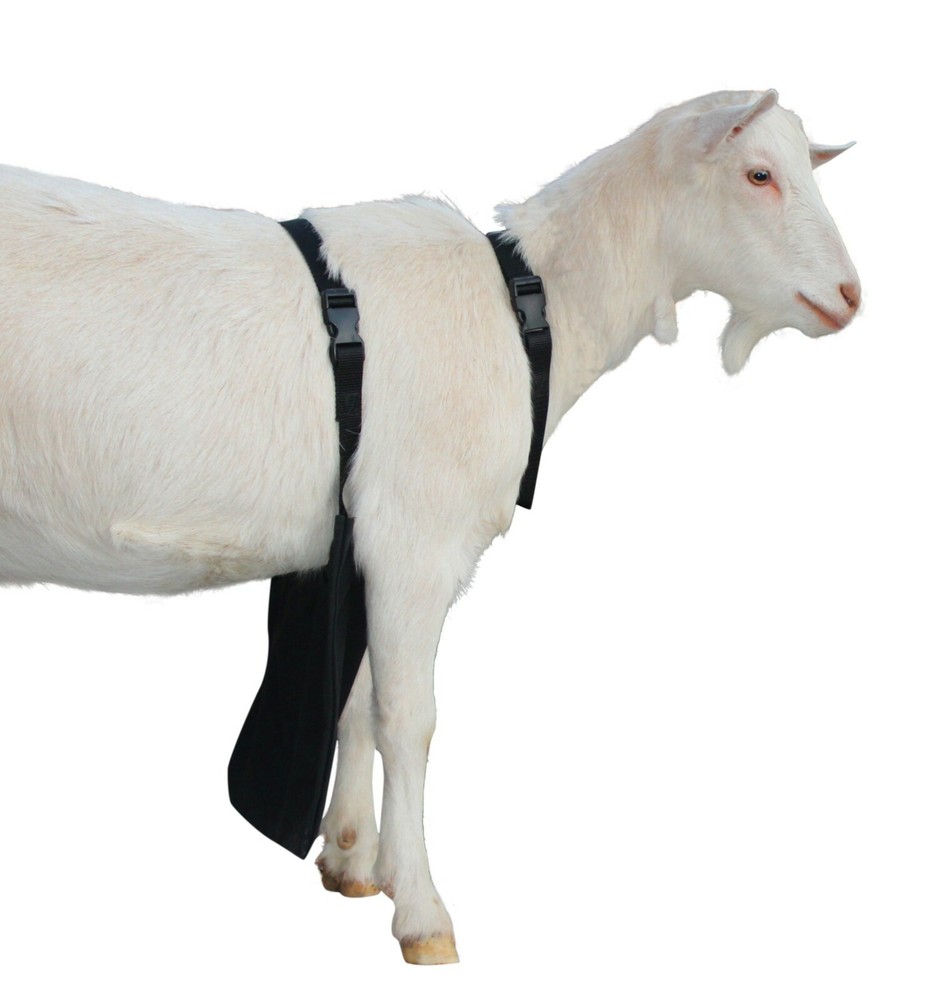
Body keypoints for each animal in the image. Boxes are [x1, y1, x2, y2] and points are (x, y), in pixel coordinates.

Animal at [0, 89, 859, 964]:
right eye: (759, 174)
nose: (849, 295)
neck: (533, 306)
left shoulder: (359, 545)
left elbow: (355, 699)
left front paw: (350, 860)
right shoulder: (417, 539)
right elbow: (408, 719)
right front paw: (422, 914)